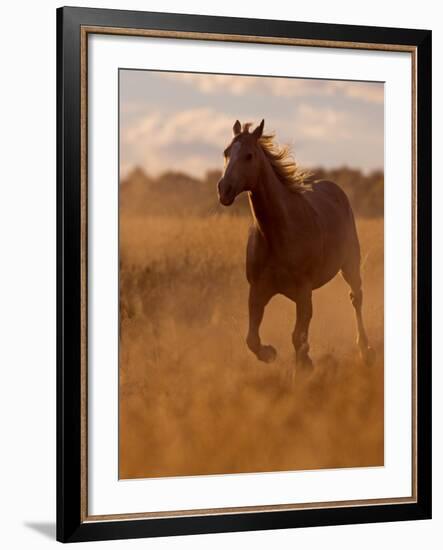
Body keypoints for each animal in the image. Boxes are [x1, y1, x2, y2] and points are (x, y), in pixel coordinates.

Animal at [218, 121, 374, 370]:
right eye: (226, 152)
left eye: (249, 155)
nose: (224, 189)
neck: (278, 234)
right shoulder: (258, 291)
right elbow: (252, 338)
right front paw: (270, 353)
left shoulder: (303, 291)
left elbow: (297, 337)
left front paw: (304, 365)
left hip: (350, 264)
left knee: (356, 298)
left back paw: (365, 350)